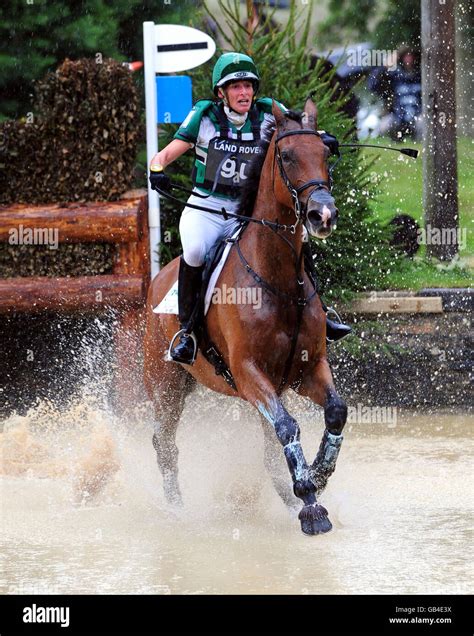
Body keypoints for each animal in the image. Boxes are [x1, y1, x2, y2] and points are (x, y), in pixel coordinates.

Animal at [143, 98, 346, 536]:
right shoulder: (249, 372)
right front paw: (312, 507)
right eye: (286, 157)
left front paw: (318, 476)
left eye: (325, 154)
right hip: (167, 384)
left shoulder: (306, 370)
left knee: (268, 451)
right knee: (164, 443)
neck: (278, 279)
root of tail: (160, 278)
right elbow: (287, 427)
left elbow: (335, 412)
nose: (323, 215)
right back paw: (176, 510)